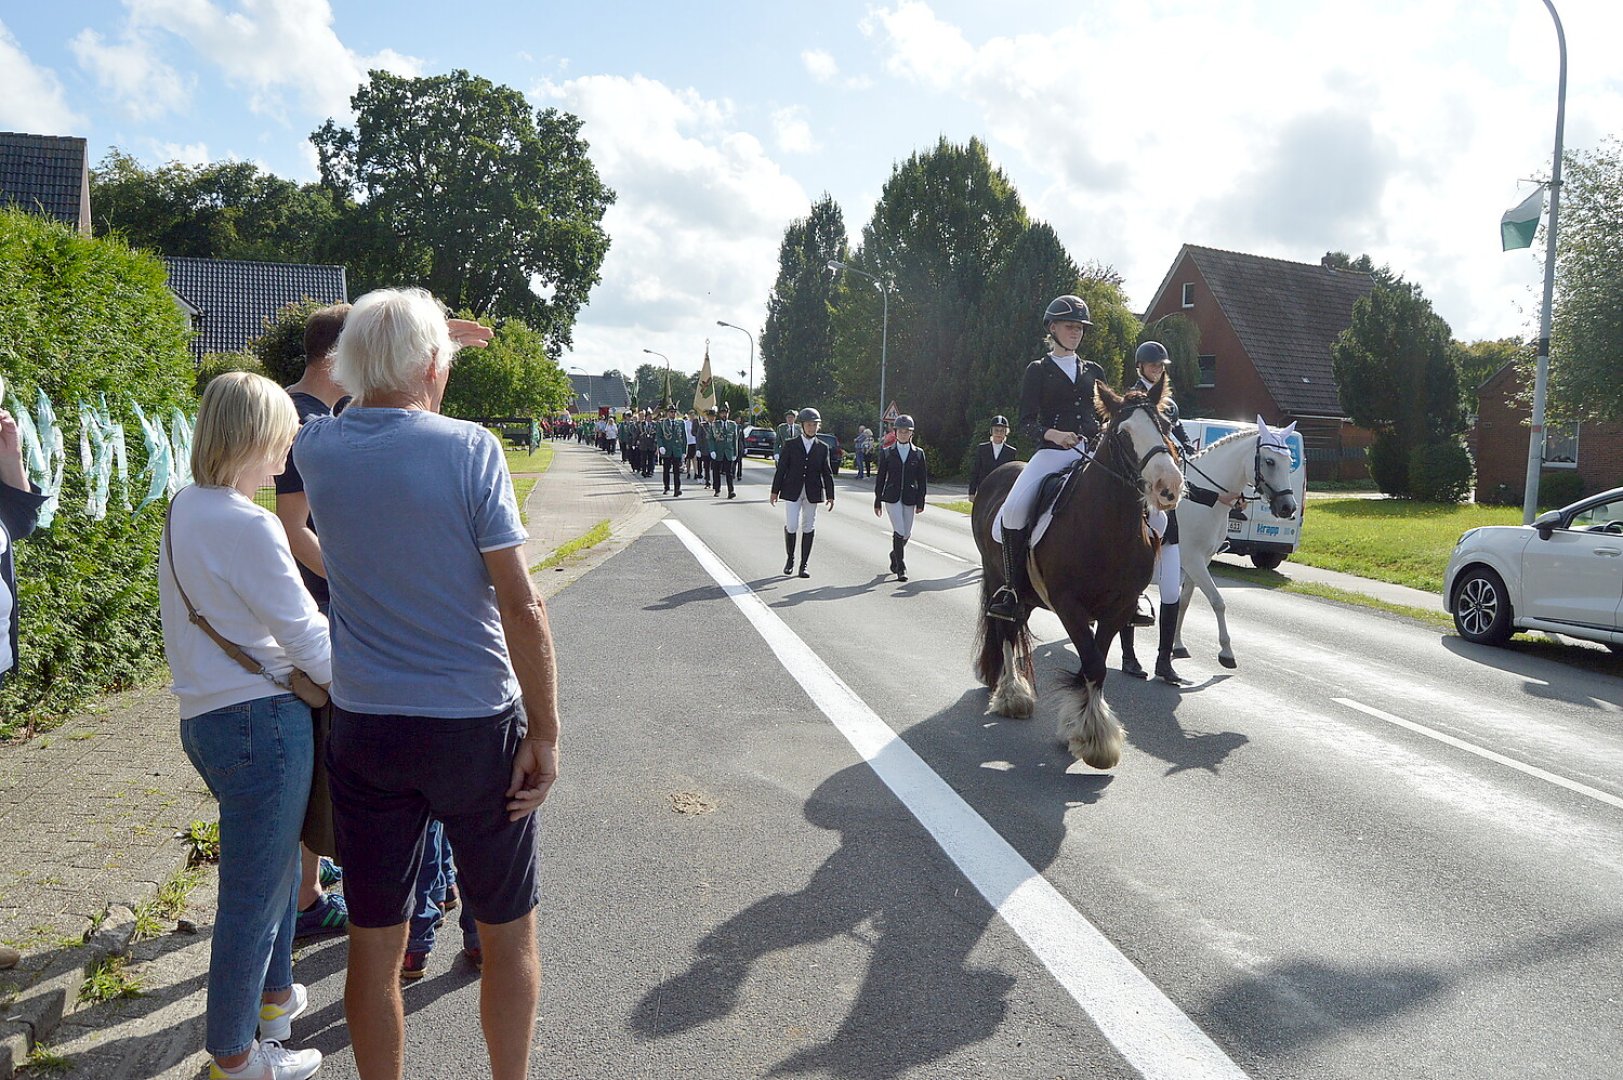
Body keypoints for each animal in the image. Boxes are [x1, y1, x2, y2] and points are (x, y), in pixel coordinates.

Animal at [967, 378, 1188, 766]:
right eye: (1123, 434)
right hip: (997, 579)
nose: (1169, 486)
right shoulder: (1069, 605)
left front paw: (1083, 728)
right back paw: (1012, 695)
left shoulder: (1118, 607)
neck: (1105, 526)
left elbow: (1093, 664)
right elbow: (1093, 664)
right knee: (1006, 631)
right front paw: (1095, 737)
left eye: (1165, 425)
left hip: (1027, 596)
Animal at [1168, 419, 1304, 665]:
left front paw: (1178, 645)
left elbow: (1184, 601)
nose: (1288, 507)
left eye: (1290, 462)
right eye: (1269, 461)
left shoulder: (1201, 560)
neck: (1203, 499)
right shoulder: (1192, 560)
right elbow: (1217, 601)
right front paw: (1226, 651)